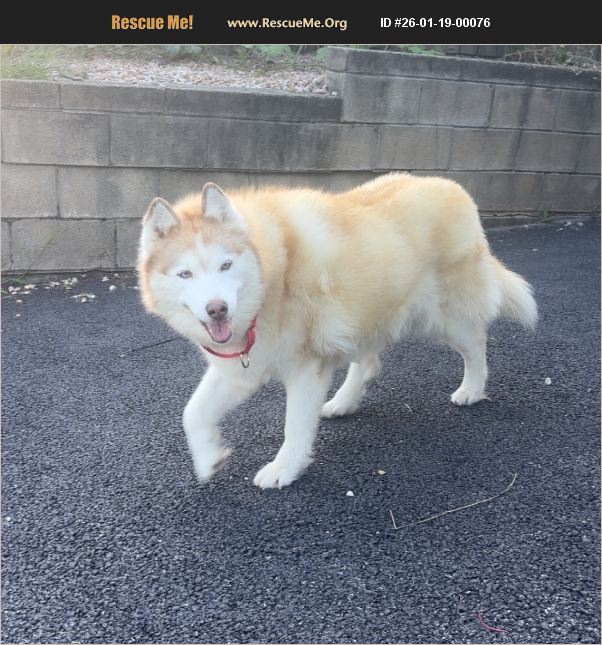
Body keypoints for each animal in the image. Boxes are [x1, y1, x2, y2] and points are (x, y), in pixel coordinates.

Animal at [138, 173, 537, 489]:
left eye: (225, 265)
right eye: (185, 274)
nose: (217, 308)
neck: (272, 272)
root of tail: (453, 186)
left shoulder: (305, 370)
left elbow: (294, 426)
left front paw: (284, 469)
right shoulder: (241, 366)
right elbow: (192, 413)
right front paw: (209, 459)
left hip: (443, 318)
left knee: (477, 342)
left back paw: (472, 389)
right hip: (364, 315)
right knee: (370, 364)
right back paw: (344, 402)